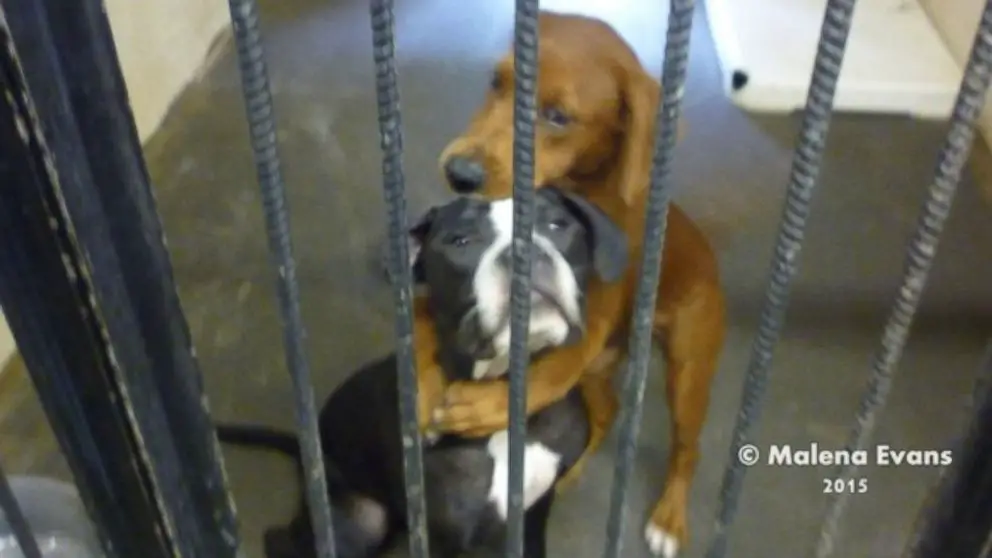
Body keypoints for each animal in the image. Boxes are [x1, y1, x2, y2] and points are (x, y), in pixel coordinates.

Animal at [218, 188, 628, 558]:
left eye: (557, 224)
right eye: (460, 240)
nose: (524, 251)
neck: (500, 394)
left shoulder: (534, 514)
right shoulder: (443, 536)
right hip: (360, 521)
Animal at [406, 9, 724, 558]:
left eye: (557, 117)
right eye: (496, 82)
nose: (458, 172)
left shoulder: (589, 314)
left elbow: (552, 371)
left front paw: (485, 408)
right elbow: (424, 318)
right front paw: (424, 387)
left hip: (687, 369)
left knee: (688, 449)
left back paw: (669, 518)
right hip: (604, 370)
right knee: (609, 408)